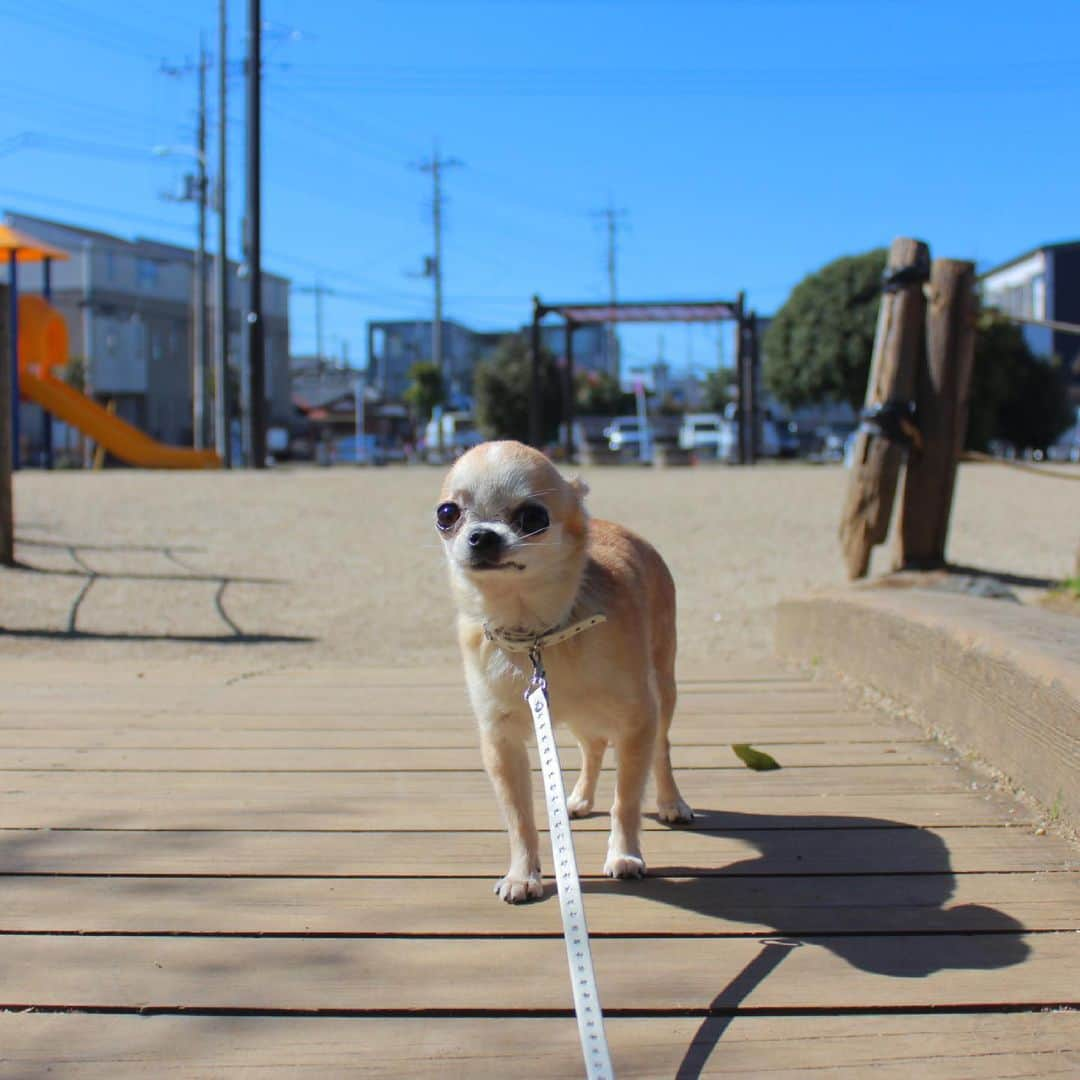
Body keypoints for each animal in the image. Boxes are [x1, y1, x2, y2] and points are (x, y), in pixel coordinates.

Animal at [436, 438, 695, 902]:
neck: (536, 633)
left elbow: (626, 799)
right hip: (580, 716)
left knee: (661, 750)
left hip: (662, 689)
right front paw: (523, 875)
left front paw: (624, 855)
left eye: (532, 517)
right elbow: (519, 817)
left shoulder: (638, 721)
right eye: (448, 513)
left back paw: (671, 803)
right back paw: (578, 798)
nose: (481, 534)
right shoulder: (502, 740)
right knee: (592, 748)